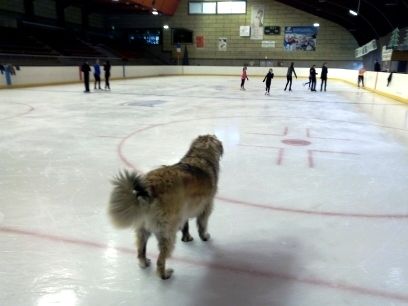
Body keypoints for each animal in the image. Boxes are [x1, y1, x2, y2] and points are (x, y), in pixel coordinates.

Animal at [108, 135, 223, 278]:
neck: (199, 156)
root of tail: (148, 189)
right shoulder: (206, 207)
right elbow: (202, 225)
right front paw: (204, 237)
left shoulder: (184, 209)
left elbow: (185, 225)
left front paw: (187, 238)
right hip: (167, 232)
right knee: (161, 259)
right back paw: (164, 274)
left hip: (143, 228)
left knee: (141, 250)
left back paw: (144, 263)